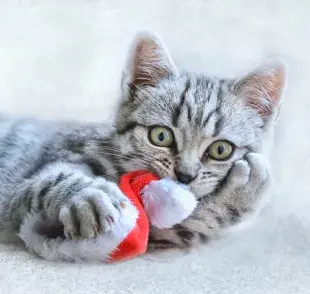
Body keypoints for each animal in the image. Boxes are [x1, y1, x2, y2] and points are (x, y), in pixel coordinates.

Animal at [0, 32, 286, 262]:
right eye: (160, 136)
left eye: (220, 150)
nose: (185, 175)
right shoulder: (28, 210)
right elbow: (52, 180)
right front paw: (88, 196)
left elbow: (192, 224)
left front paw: (242, 192)